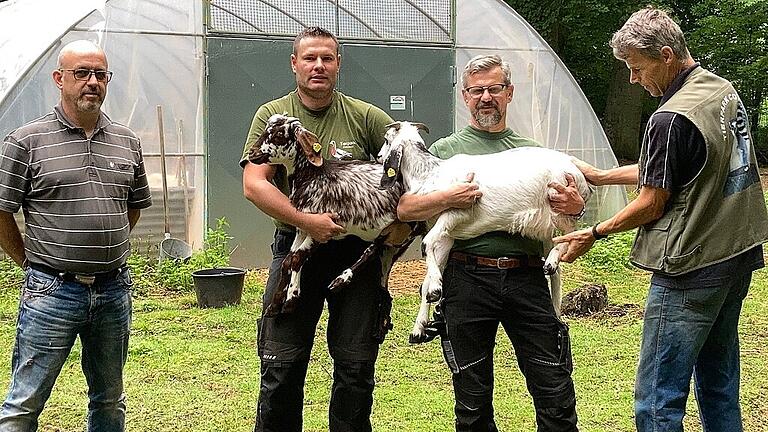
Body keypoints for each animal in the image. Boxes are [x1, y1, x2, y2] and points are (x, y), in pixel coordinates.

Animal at [249, 114, 424, 320]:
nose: (251, 153)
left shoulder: (323, 229)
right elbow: (288, 262)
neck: (314, 176)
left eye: (278, 135)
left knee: (371, 250)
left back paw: (340, 280)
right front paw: (277, 304)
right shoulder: (304, 228)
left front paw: (290, 301)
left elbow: (296, 259)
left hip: (405, 228)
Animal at [380, 122, 592, 344]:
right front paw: (419, 328)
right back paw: (555, 296)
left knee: (571, 232)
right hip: (544, 227)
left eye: (386, 139)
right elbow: (427, 275)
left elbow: (426, 243)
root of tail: (576, 168)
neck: (430, 175)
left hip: (560, 204)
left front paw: (436, 288)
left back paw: (552, 262)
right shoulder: (447, 235)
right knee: (557, 264)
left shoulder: (457, 212)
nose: (378, 156)